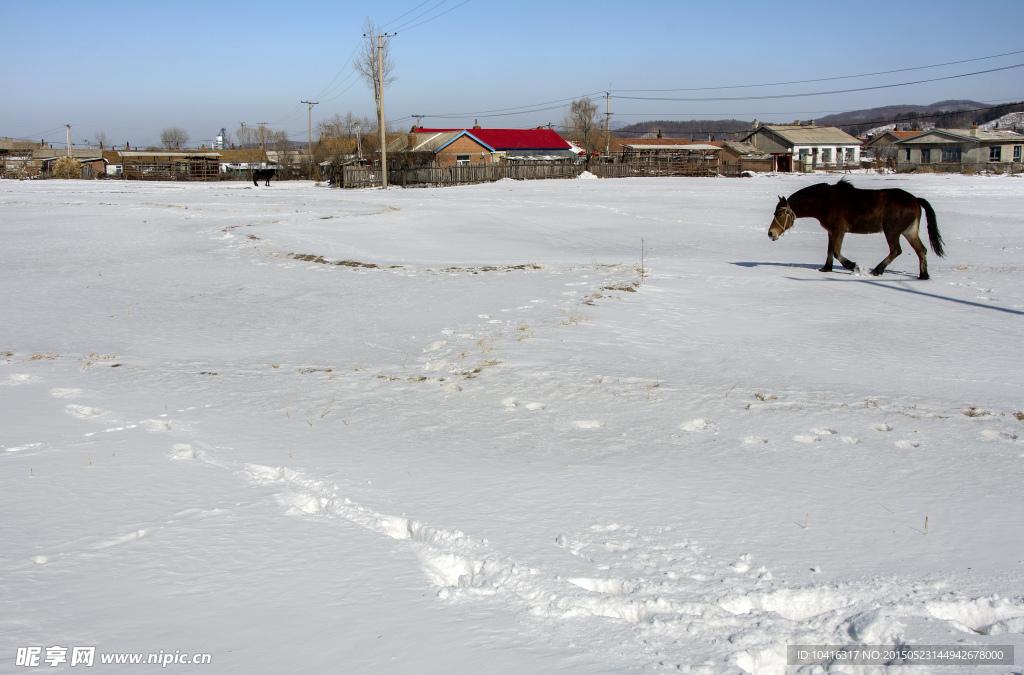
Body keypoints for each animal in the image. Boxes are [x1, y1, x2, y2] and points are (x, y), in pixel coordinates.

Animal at [770, 179, 942, 280]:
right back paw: (923, 275)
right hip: (909, 232)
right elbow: (830, 251)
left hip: (892, 231)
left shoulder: (839, 230)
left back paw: (877, 270)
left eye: (779, 213)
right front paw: (826, 269)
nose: (771, 233)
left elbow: (837, 252)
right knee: (921, 250)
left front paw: (854, 266)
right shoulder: (831, 232)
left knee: (896, 250)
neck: (825, 202)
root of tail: (915, 200)